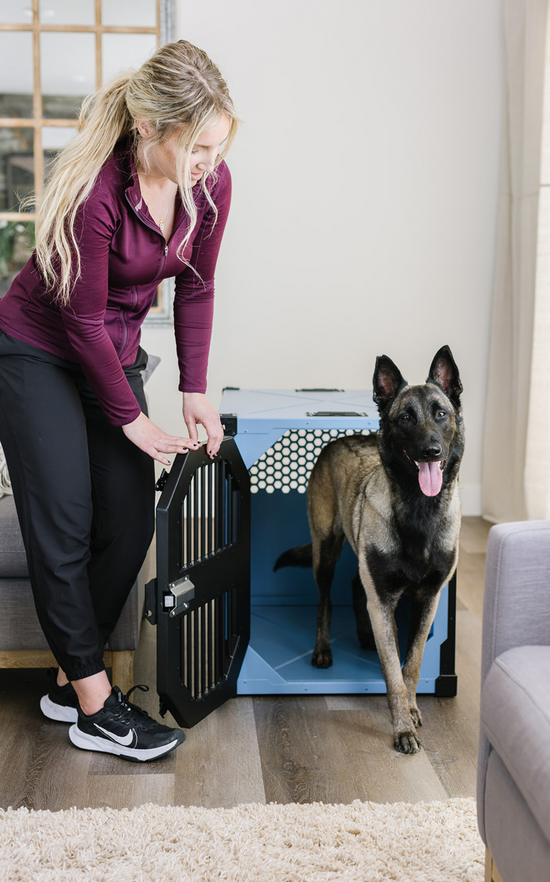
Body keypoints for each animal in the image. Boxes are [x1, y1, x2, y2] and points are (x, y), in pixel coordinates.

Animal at [276, 344, 466, 748]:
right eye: (406, 418)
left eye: (441, 414)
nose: (430, 450)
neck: (418, 510)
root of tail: (334, 441)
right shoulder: (383, 602)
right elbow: (393, 672)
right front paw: (402, 727)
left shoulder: (426, 600)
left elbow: (412, 664)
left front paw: (410, 710)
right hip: (325, 552)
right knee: (326, 600)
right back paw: (323, 649)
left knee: (353, 586)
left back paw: (364, 636)